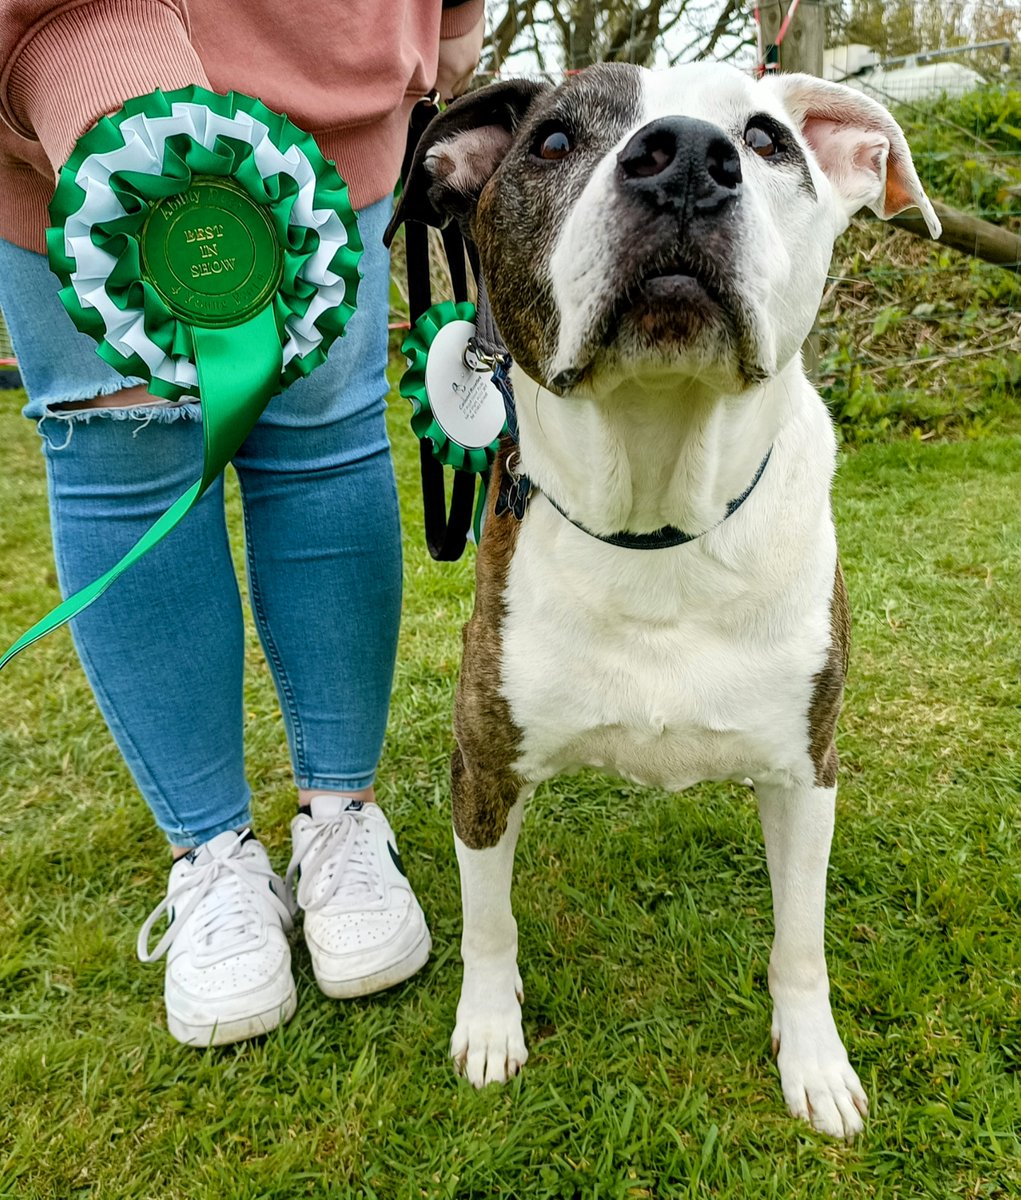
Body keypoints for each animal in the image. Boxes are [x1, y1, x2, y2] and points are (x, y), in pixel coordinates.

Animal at [386, 58, 940, 1142]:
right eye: (555, 141)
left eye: (766, 140)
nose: (684, 158)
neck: (656, 521)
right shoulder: (483, 765)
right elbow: (487, 922)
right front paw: (488, 1028)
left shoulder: (807, 770)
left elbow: (800, 943)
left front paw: (814, 1064)